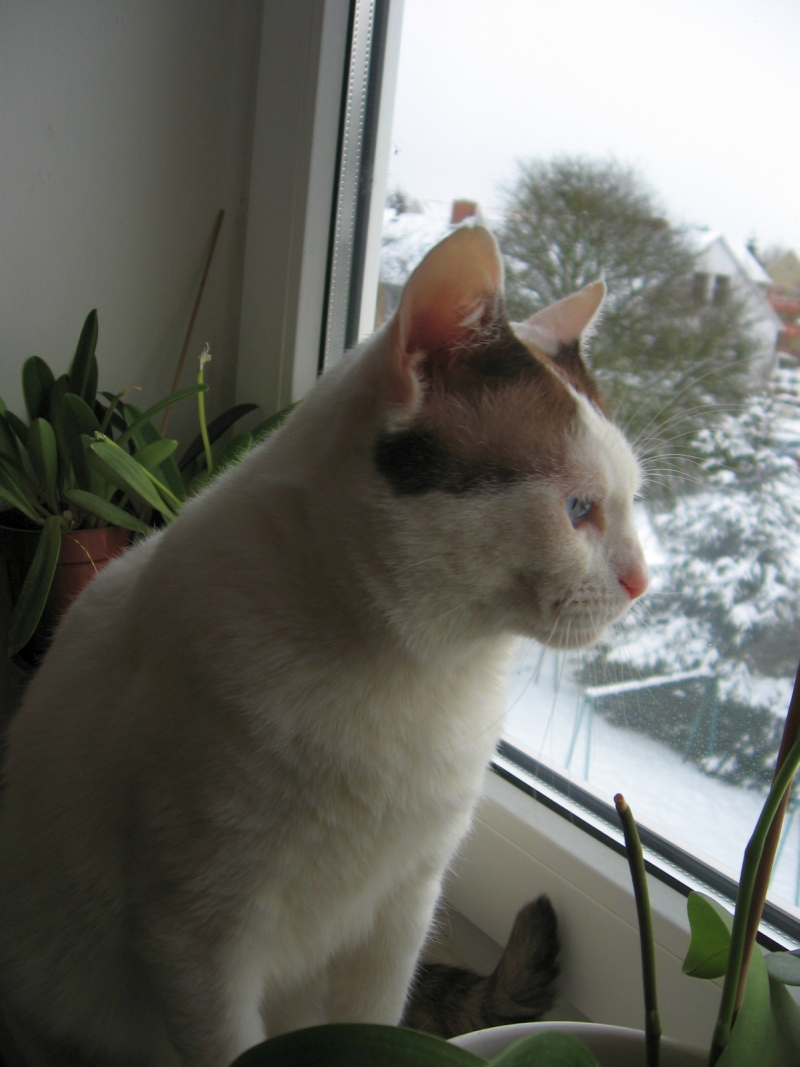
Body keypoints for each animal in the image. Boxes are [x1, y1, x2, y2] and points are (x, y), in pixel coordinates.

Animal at [0, 222, 647, 1067]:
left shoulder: (403, 909)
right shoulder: (197, 944)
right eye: (577, 509)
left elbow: (375, 1020)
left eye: (633, 501)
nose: (644, 580)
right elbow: (230, 1046)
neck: (421, 671)